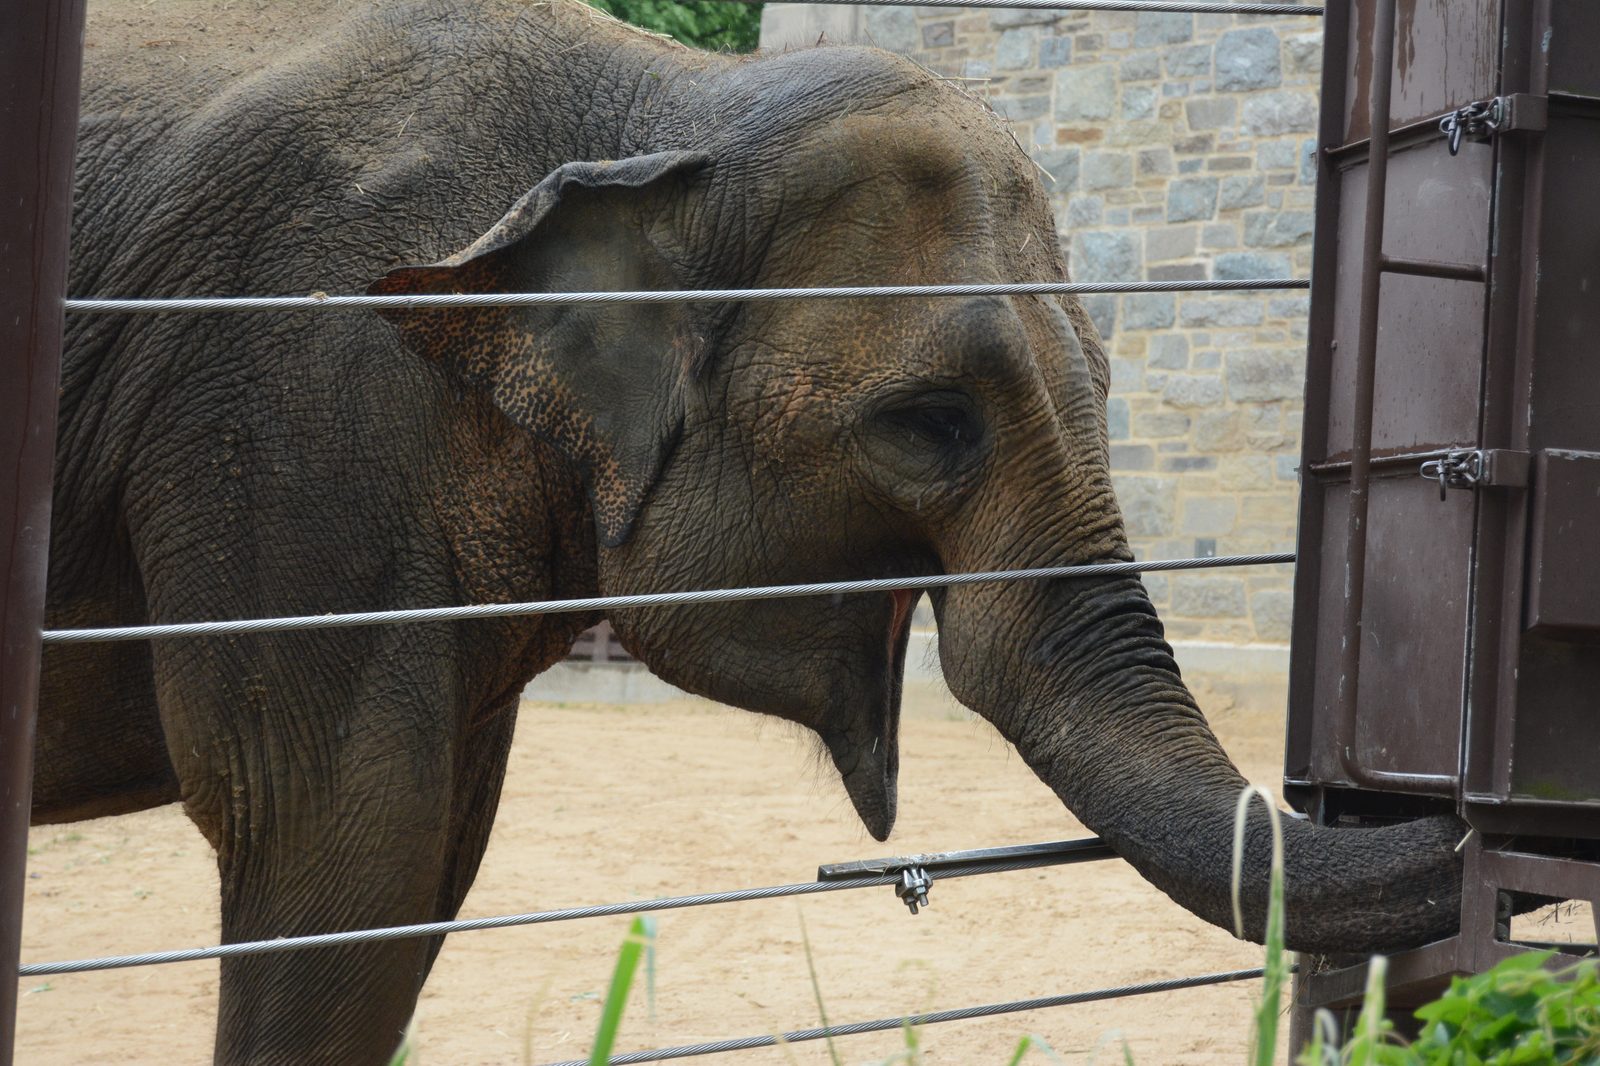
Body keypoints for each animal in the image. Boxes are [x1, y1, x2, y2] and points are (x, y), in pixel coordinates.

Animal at [35, 0, 1465, 1061]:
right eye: (932, 423)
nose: (1457, 804)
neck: (664, 107)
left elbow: (424, 859)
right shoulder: (290, 410)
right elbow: (337, 844)